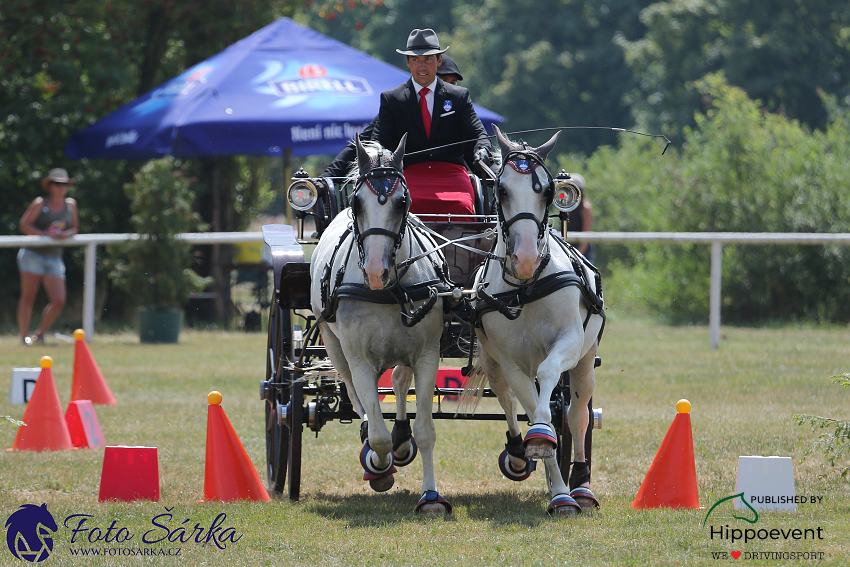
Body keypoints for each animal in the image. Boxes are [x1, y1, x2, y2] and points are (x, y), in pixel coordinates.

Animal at [310, 133, 454, 516]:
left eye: (402, 201)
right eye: (357, 202)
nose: (376, 271)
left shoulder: (427, 354)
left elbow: (425, 429)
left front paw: (431, 496)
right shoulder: (359, 359)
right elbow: (376, 433)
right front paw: (378, 466)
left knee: (401, 380)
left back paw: (401, 438)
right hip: (333, 343)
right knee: (355, 394)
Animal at [470, 126, 604, 516]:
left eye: (547, 191)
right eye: (501, 189)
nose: (526, 258)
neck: (526, 287)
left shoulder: (570, 342)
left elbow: (548, 381)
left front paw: (564, 485)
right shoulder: (510, 362)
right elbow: (529, 407)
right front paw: (555, 486)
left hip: (585, 361)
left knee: (577, 414)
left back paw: (582, 485)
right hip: (492, 362)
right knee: (507, 399)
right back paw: (520, 454)